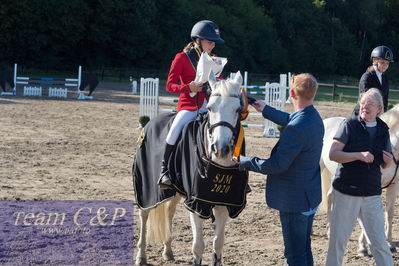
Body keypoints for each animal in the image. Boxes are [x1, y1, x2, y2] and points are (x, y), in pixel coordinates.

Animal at [133, 71, 248, 264]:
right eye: (210, 108)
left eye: (238, 110)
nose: (221, 149)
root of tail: (149, 123)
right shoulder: (196, 203)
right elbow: (198, 246)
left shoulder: (224, 203)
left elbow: (218, 244)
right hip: (146, 187)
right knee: (144, 214)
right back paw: (141, 256)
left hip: (176, 190)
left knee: (169, 211)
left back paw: (168, 251)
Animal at [320, 104, 399, 256]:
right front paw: (363, 246)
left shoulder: (394, 185)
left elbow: (390, 213)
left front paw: (389, 243)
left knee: (330, 196)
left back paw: (329, 230)